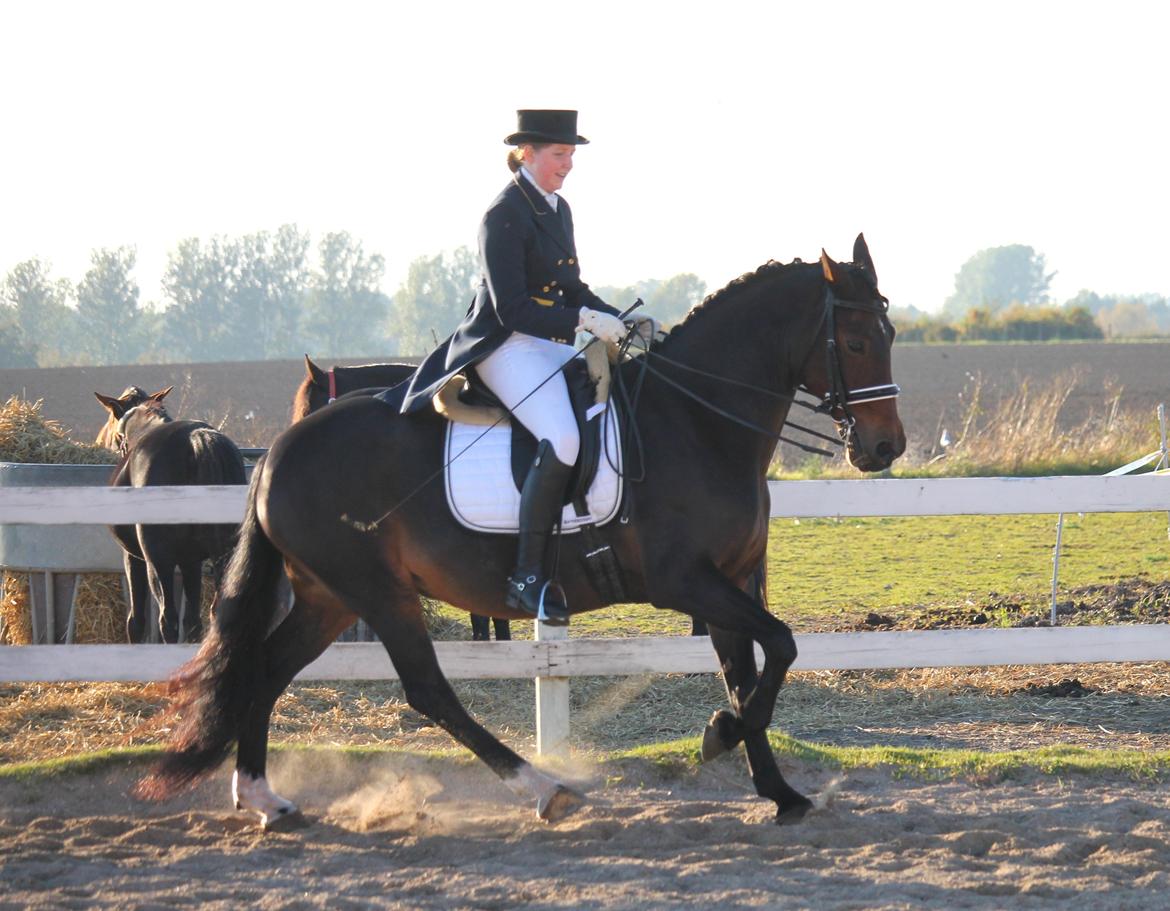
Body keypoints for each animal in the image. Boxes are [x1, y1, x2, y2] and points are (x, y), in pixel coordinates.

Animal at [96, 388, 249, 645]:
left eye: (115, 431)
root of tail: (195, 440)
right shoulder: (191, 562)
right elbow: (193, 622)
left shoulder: (133, 557)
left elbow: (136, 621)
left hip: (159, 564)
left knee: (167, 620)